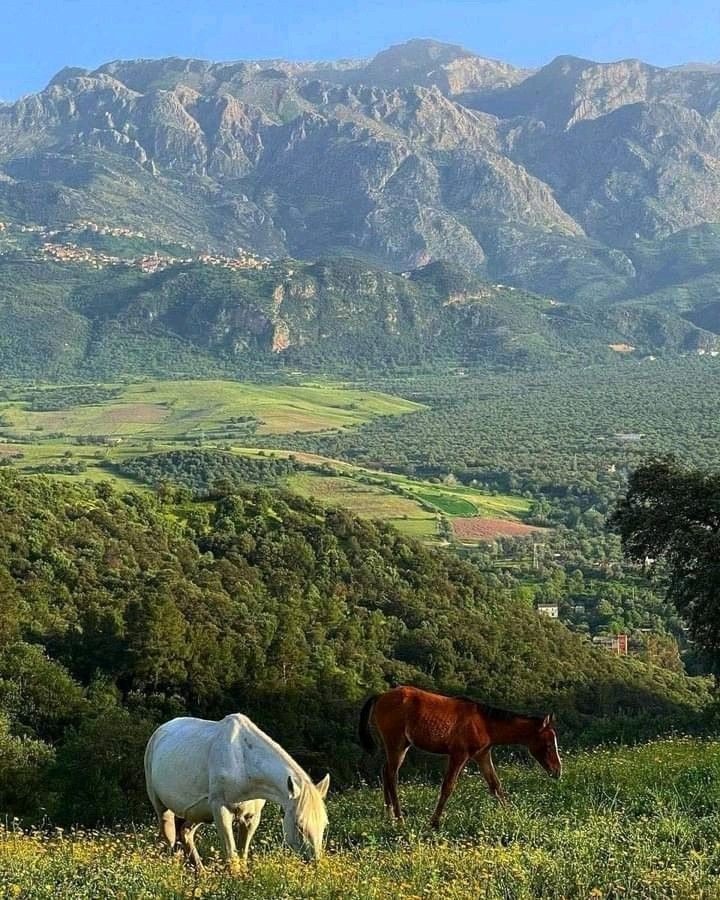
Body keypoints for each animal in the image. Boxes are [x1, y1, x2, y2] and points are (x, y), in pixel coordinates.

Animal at [145, 713, 330, 871]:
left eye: (324, 824)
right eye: (299, 825)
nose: (315, 864)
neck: (242, 763)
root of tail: (159, 732)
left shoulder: (251, 818)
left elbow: (242, 854)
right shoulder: (221, 810)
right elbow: (232, 856)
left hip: (198, 812)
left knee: (185, 832)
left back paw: (202, 874)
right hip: (162, 807)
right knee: (169, 836)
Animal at [359, 685, 561, 827]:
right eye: (549, 745)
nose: (557, 771)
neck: (484, 723)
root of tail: (380, 696)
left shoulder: (482, 755)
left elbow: (495, 785)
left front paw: (510, 815)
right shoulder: (459, 755)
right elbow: (447, 787)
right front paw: (434, 823)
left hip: (399, 746)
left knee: (385, 771)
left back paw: (389, 816)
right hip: (397, 745)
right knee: (391, 776)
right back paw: (399, 819)